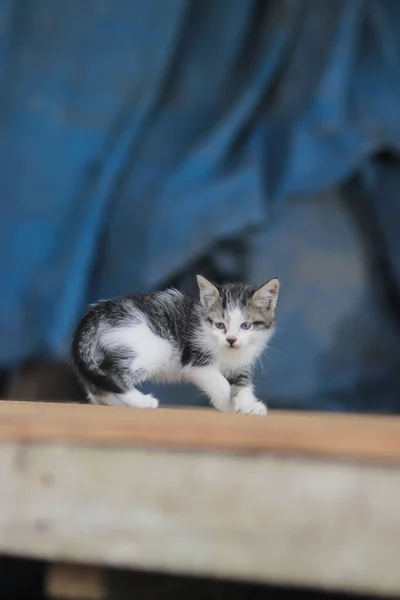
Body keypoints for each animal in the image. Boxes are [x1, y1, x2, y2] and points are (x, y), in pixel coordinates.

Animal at [72, 276, 278, 412]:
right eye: (220, 325)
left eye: (246, 325)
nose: (231, 339)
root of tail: (99, 310)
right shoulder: (196, 361)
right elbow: (220, 383)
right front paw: (227, 404)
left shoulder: (241, 362)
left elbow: (243, 382)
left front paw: (249, 405)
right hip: (156, 345)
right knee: (112, 372)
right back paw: (141, 402)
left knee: (98, 379)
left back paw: (113, 402)